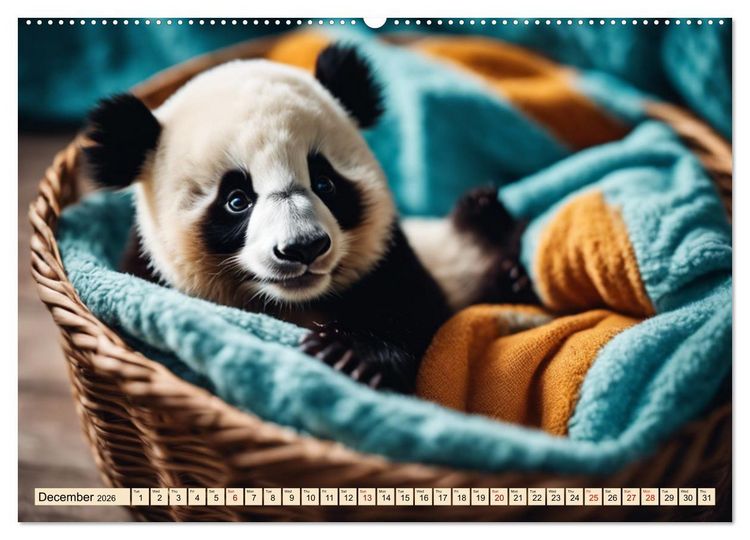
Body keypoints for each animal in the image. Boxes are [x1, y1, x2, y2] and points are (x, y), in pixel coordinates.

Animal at [84, 43, 535, 394]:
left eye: (324, 182)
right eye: (236, 200)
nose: (303, 248)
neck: (292, 303)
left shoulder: (388, 258)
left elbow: (414, 312)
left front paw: (349, 355)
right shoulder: (149, 270)